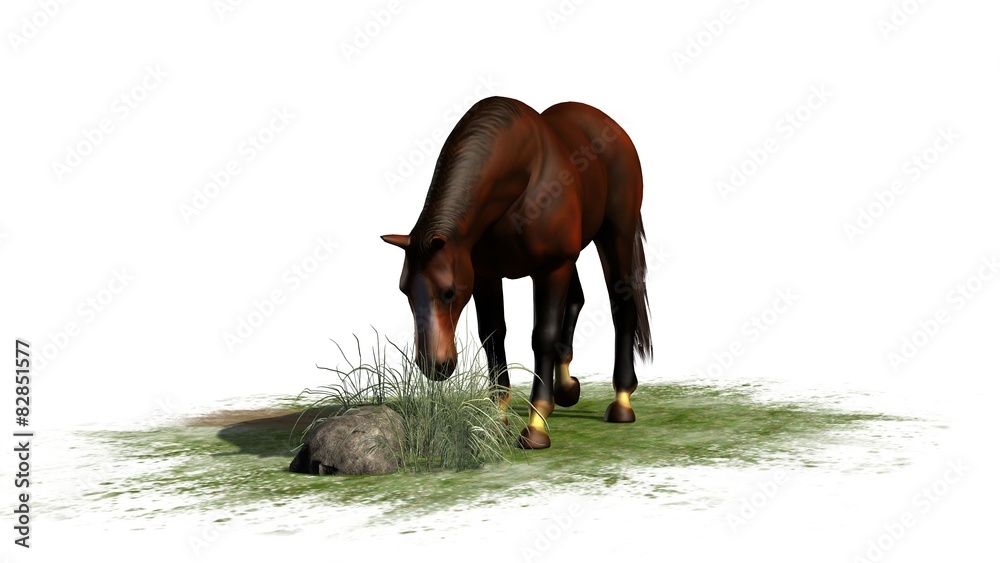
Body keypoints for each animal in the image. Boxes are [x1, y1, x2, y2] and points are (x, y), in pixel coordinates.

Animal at [382, 96, 652, 449]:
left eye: (448, 292)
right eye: (405, 291)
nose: (435, 367)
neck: (522, 175)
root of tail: (612, 126)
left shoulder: (551, 269)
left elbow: (543, 336)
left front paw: (535, 426)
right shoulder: (484, 276)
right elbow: (493, 334)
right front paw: (496, 419)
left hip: (614, 236)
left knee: (623, 307)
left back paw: (621, 401)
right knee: (577, 300)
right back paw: (567, 388)